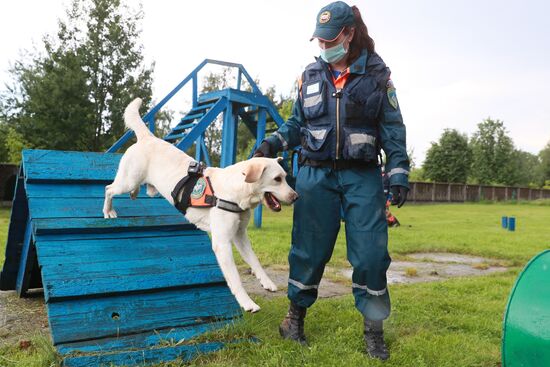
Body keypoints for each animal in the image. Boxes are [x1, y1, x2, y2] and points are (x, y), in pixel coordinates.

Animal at [105, 98, 300, 314]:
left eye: (285, 177)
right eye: (277, 179)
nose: (296, 196)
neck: (236, 192)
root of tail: (148, 138)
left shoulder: (240, 236)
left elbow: (255, 261)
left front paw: (267, 282)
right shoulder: (223, 243)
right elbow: (235, 278)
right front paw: (247, 303)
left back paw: (133, 195)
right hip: (127, 180)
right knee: (109, 189)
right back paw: (108, 211)